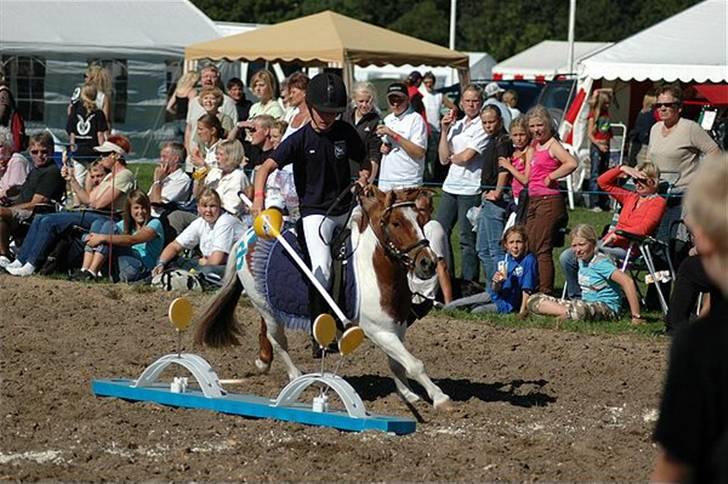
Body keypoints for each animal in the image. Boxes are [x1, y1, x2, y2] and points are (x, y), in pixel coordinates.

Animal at [196, 185, 452, 408]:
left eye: (420, 220)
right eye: (396, 223)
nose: (428, 263)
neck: (374, 270)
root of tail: (245, 238)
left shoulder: (395, 327)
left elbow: (398, 364)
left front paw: (408, 394)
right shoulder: (378, 330)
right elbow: (414, 364)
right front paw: (440, 398)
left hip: (267, 303)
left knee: (265, 331)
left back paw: (264, 360)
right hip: (265, 307)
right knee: (278, 340)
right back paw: (295, 375)